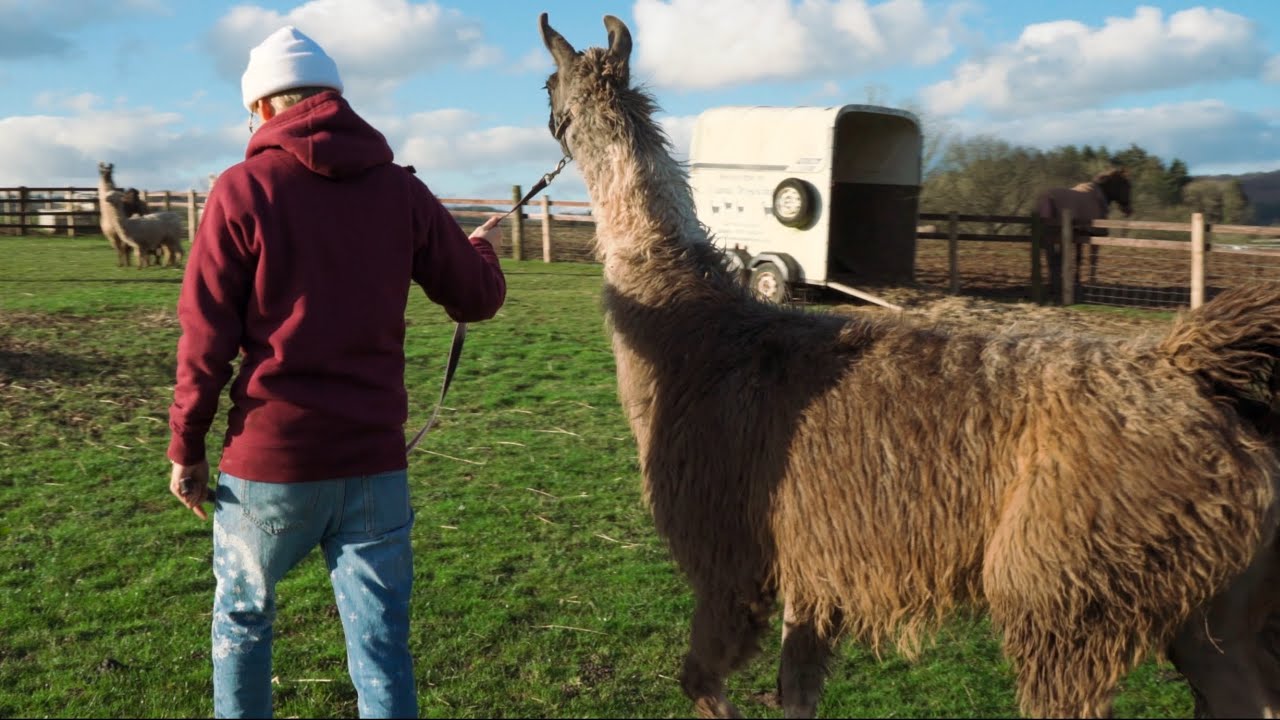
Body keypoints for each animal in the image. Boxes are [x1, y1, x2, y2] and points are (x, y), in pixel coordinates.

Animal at [1034, 167, 1136, 299]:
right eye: (1127, 185)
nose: (1129, 210)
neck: (1099, 196)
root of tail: (1047, 198)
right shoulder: (1096, 236)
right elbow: (1093, 259)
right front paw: (1092, 283)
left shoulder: (1080, 237)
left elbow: (1078, 258)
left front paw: (1077, 282)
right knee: (1053, 258)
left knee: (1051, 258)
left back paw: (1054, 287)